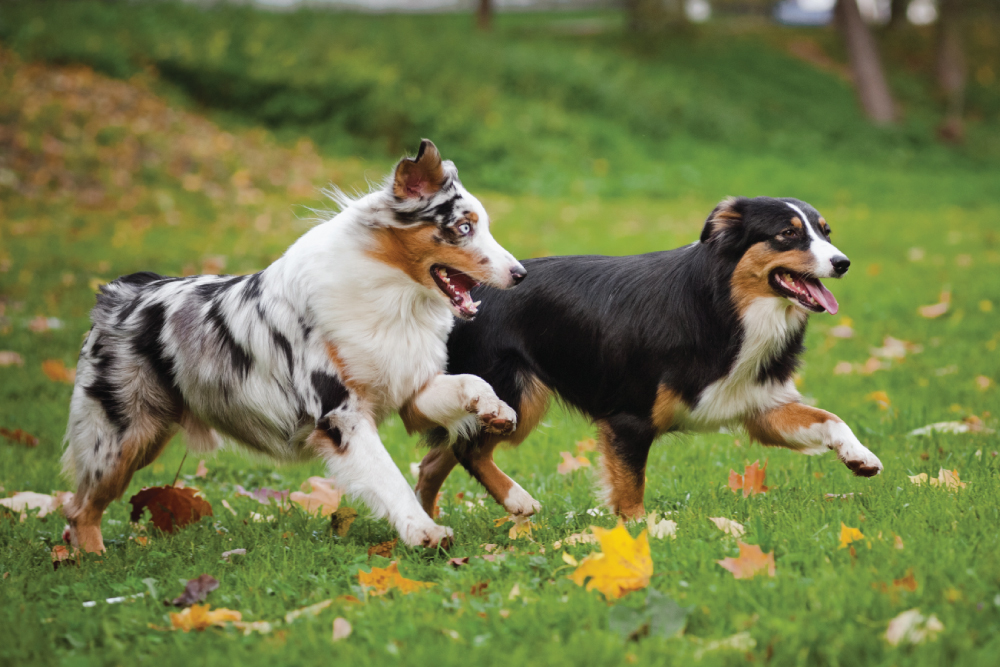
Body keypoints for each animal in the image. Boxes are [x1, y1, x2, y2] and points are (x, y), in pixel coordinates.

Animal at [414, 196, 884, 520]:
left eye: (825, 232)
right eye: (787, 234)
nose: (842, 262)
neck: (725, 305)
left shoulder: (759, 405)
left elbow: (830, 418)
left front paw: (860, 456)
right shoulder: (629, 418)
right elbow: (630, 490)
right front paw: (643, 534)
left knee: (438, 457)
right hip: (512, 396)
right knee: (469, 451)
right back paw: (518, 501)